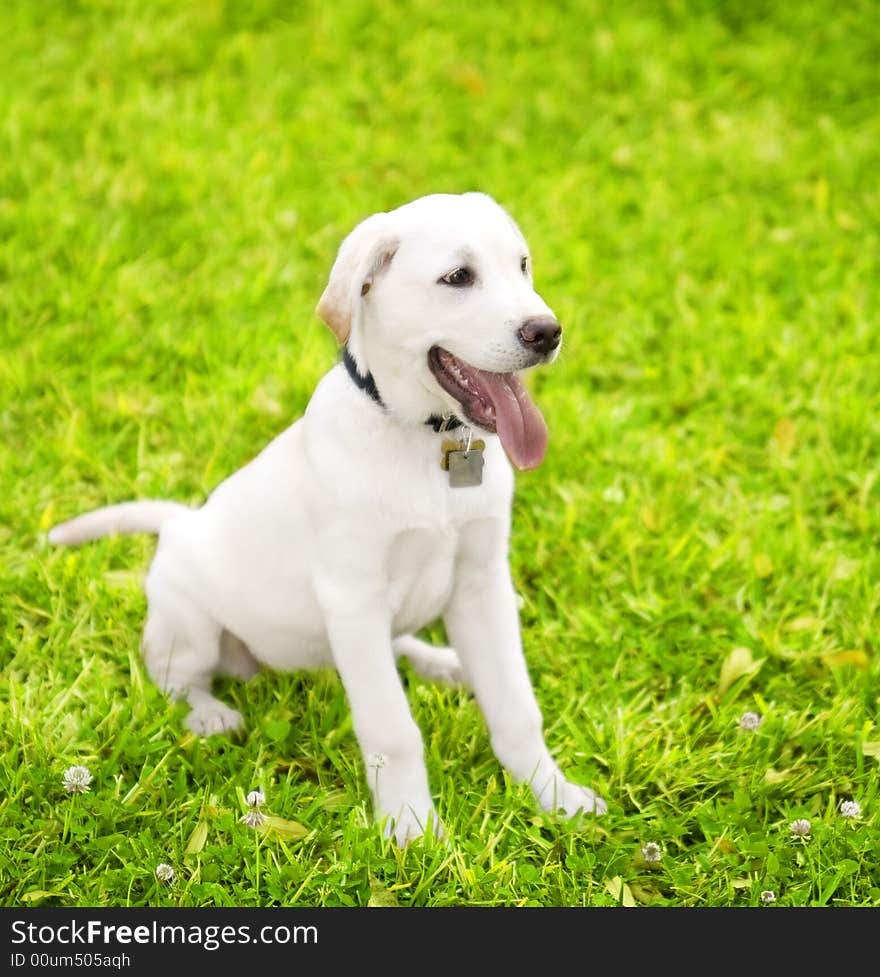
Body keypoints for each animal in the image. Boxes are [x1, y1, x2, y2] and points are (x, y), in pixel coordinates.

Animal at [49, 194, 604, 844]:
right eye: (458, 278)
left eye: (522, 266)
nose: (548, 332)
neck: (429, 444)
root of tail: (183, 521)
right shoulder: (353, 597)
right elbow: (393, 728)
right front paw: (412, 828)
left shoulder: (482, 581)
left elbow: (517, 707)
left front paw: (554, 796)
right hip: (190, 623)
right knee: (175, 678)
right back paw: (210, 714)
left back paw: (444, 662)